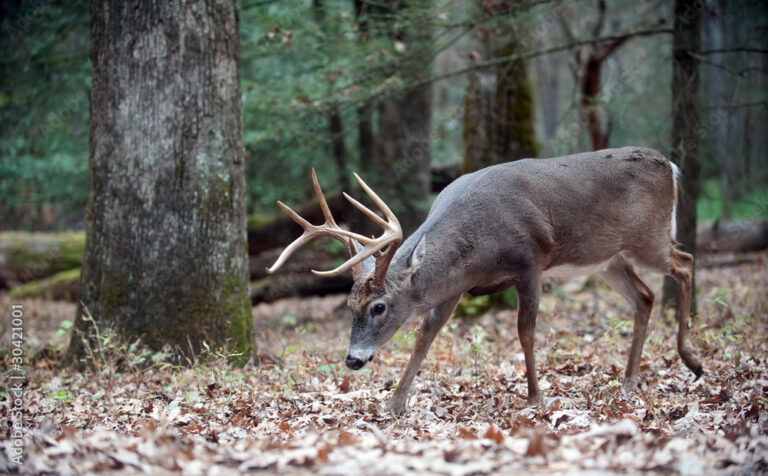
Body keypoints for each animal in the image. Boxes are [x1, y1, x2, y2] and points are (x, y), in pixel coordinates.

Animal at [264, 147, 704, 414]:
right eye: (349, 305)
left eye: (379, 306)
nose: (353, 359)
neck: (479, 247)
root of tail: (669, 164)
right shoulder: (456, 286)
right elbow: (425, 336)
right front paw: (394, 404)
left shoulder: (530, 263)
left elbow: (525, 331)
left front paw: (535, 397)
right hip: (608, 260)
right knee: (645, 297)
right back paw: (629, 382)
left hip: (648, 239)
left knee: (685, 261)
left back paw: (692, 359)